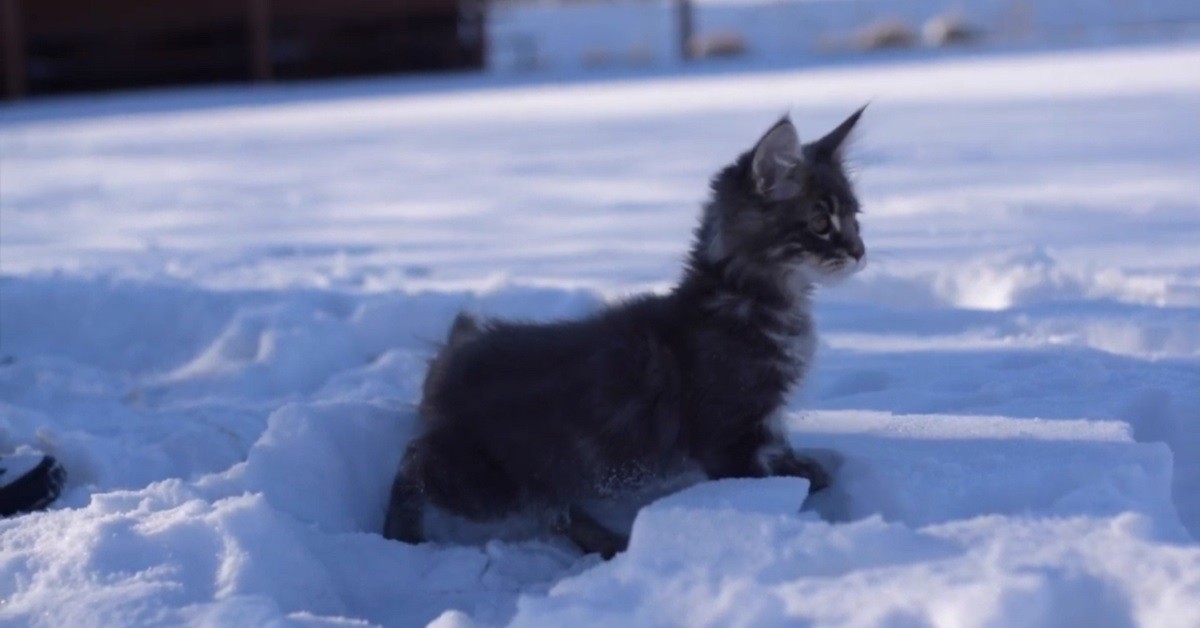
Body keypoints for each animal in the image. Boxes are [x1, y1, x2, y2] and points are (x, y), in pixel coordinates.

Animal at [388, 109, 868, 559]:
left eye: (855, 218)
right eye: (820, 223)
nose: (861, 252)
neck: (747, 299)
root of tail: (450, 359)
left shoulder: (767, 424)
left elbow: (791, 458)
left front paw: (813, 474)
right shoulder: (728, 436)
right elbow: (759, 482)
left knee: (557, 513)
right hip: (486, 483)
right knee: (414, 463)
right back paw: (399, 532)